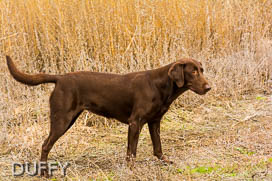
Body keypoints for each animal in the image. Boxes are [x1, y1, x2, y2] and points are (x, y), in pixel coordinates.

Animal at [5, 55, 210, 176]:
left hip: (69, 118)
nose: (209, 87)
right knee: (45, 144)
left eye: (201, 70)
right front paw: (132, 171)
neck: (161, 85)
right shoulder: (135, 123)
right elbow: (131, 152)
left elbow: (157, 148)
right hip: (62, 120)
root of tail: (60, 77)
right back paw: (45, 173)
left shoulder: (154, 122)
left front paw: (165, 162)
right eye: (193, 71)